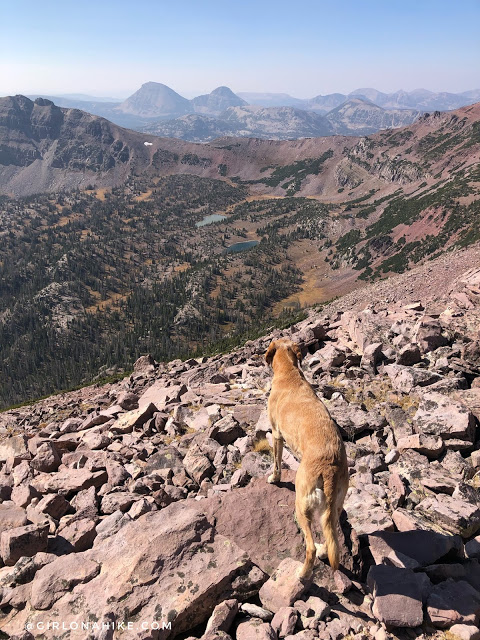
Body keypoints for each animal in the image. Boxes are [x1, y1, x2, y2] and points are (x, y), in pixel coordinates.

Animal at [266, 338, 348, 576]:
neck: (289, 372)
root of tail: (329, 468)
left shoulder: (276, 434)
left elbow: (276, 462)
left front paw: (274, 478)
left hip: (301, 501)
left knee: (309, 546)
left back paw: (301, 573)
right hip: (335, 505)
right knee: (332, 536)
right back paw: (323, 551)